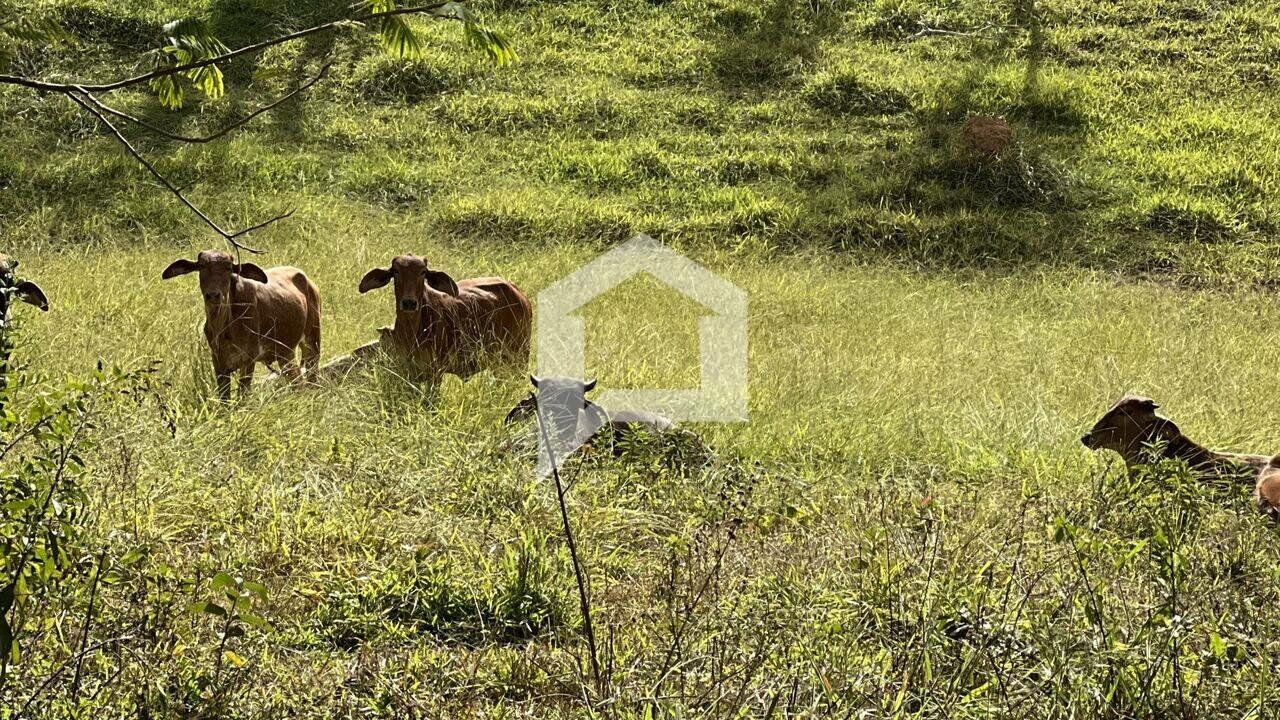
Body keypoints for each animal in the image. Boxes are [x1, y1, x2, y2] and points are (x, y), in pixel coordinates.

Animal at [162, 249, 322, 397]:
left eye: (228, 267)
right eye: (201, 266)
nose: (213, 295)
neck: (223, 328)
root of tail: (308, 281)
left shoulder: (248, 360)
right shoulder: (219, 363)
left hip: (312, 342)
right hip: (286, 353)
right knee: (297, 381)